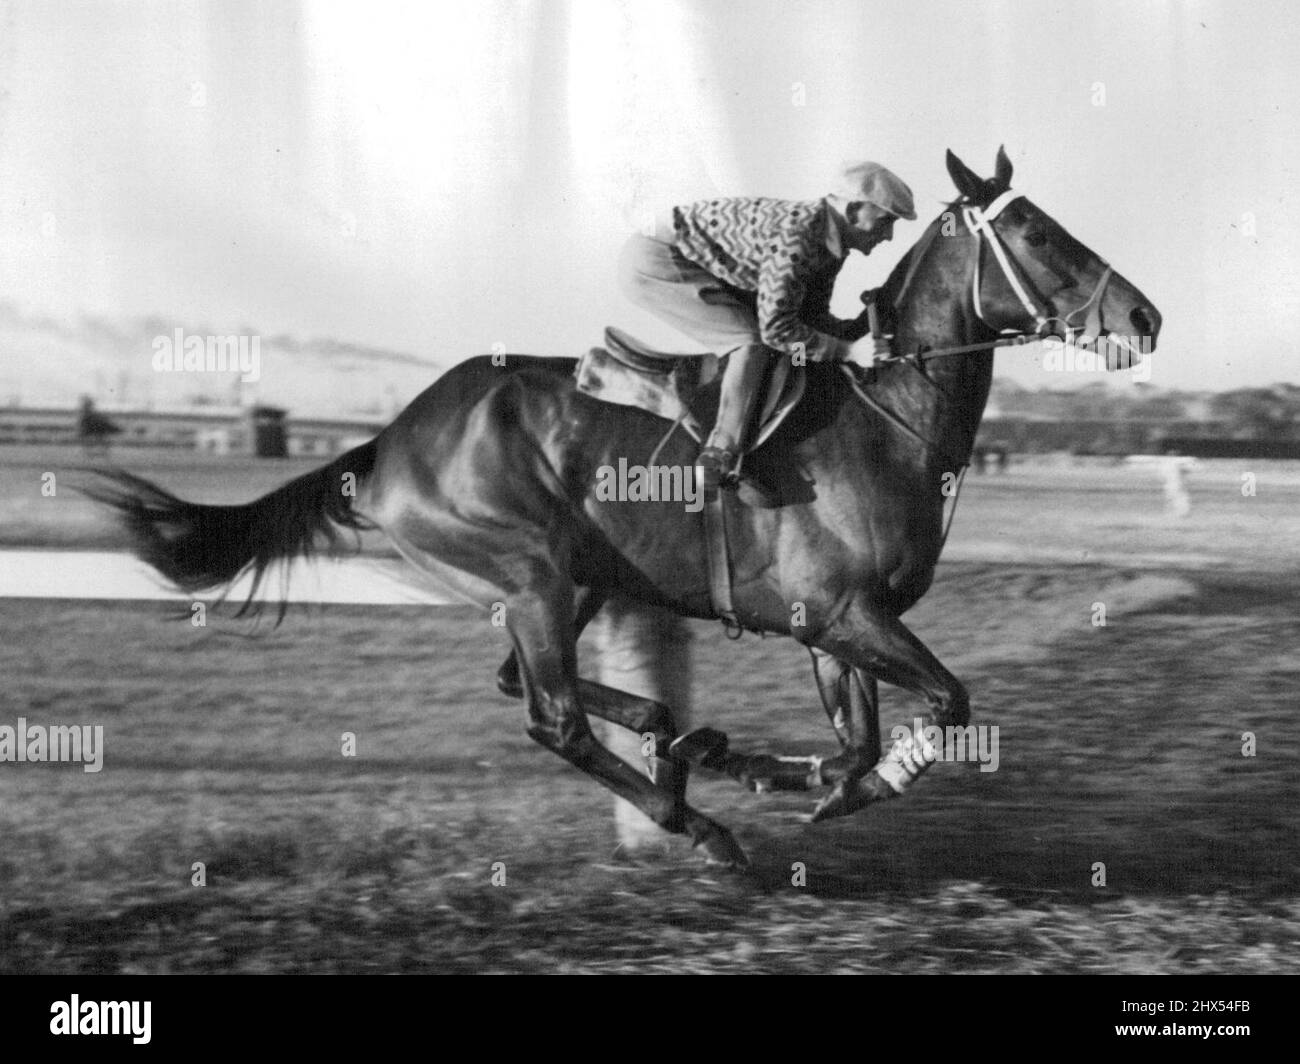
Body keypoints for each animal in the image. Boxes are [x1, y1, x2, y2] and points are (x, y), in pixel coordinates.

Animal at [94, 149, 1170, 863]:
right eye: (1034, 231)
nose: (1144, 314)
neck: (890, 422)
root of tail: (386, 443)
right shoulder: (842, 613)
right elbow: (944, 704)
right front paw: (817, 785)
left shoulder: (833, 624)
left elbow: (857, 742)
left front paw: (789, 771)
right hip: (528, 573)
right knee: (555, 718)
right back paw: (696, 820)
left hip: (568, 581)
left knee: (523, 685)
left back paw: (682, 737)